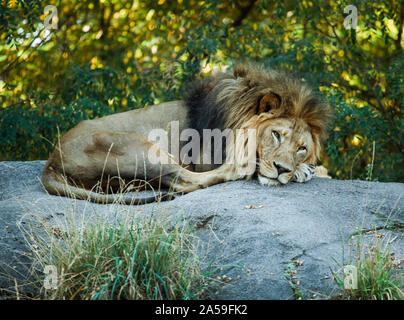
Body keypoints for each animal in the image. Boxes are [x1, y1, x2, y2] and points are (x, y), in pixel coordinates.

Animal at [41, 63, 332, 204]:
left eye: (302, 148)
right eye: (276, 135)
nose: (283, 169)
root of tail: (51, 161)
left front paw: (311, 169)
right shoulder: (205, 158)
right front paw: (302, 171)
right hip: (136, 146)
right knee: (187, 181)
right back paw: (241, 164)